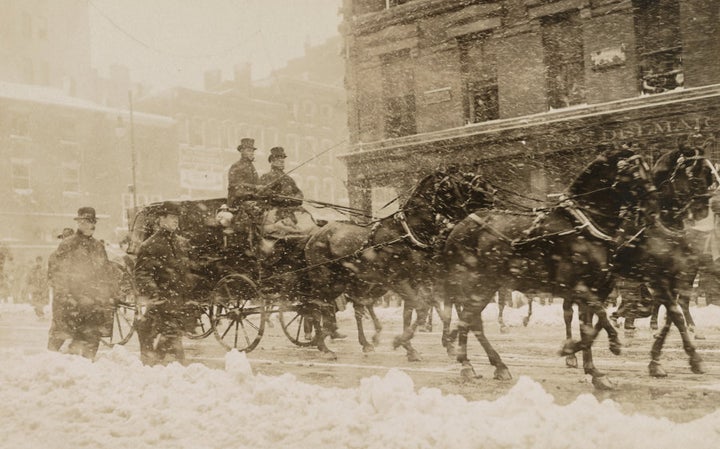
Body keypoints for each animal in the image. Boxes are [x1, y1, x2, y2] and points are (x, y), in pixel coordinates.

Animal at [302, 170, 496, 358]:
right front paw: (404, 342)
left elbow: (413, 313)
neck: (407, 233)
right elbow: (423, 309)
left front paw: (411, 347)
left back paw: (352, 340)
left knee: (344, 306)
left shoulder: (417, 280)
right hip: (325, 279)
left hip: (345, 282)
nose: (492, 197)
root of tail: (315, 235)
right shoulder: (401, 280)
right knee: (317, 305)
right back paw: (324, 344)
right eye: (451, 187)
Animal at [442, 148, 656, 388]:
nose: (653, 209)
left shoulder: (596, 289)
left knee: (472, 319)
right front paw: (607, 345)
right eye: (634, 174)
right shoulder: (576, 287)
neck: (582, 226)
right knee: (469, 319)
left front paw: (592, 370)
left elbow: (591, 326)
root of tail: (458, 227)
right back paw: (466, 364)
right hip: (477, 283)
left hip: (487, 285)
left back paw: (495, 364)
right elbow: (600, 317)